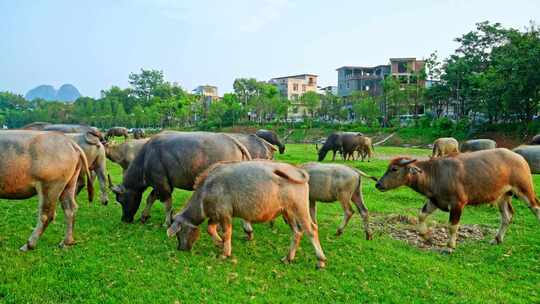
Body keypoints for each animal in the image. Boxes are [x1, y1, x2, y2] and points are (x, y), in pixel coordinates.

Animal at [111, 131, 253, 226]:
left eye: (120, 200)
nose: (124, 219)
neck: (146, 158)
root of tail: (235, 142)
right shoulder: (161, 184)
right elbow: (150, 198)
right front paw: (144, 216)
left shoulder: (162, 184)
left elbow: (167, 203)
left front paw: (167, 222)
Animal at [167, 160, 326, 268]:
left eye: (178, 233)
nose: (181, 248)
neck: (206, 190)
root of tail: (296, 170)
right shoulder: (215, 215)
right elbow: (210, 228)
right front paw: (219, 242)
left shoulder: (225, 214)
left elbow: (227, 232)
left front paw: (225, 253)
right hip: (288, 212)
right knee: (297, 232)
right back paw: (288, 258)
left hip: (300, 209)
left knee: (311, 230)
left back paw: (320, 260)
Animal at [376, 148, 540, 251]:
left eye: (394, 169)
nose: (378, 184)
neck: (435, 174)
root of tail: (520, 158)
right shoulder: (434, 200)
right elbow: (421, 216)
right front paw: (426, 236)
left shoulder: (458, 204)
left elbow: (452, 226)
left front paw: (450, 246)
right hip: (503, 195)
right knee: (507, 216)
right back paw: (497, 239)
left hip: (525, 189)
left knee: (536, 207)